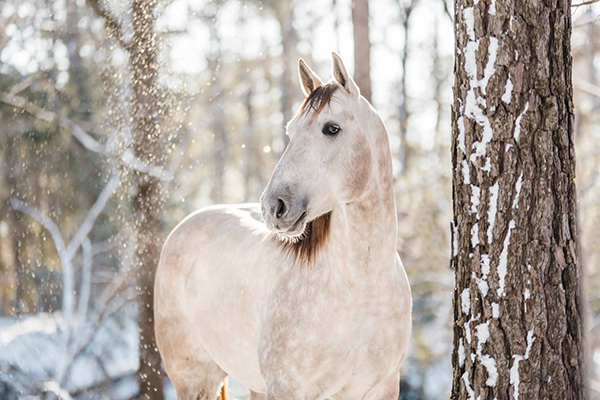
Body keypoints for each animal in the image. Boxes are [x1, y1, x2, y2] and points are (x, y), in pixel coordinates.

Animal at [154, 54, 412, 400]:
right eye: (291, 131)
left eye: (332, 128)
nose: (272, 206)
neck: (362, 287)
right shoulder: (287, 388)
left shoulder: (383, 387)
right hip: (195, 380)